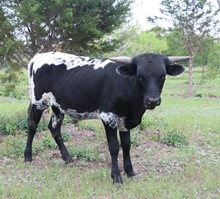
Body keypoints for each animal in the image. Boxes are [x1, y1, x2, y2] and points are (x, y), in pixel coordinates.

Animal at [24, 51, 189, 183]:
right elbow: (114, 147)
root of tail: (39, 56)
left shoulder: (125, 121)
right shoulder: (108, 117)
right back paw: (27, 157)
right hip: (38, 102)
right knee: (32, 126)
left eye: (162, 76)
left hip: (58, 106)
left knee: (54, 128)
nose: (152, 100)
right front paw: (116, 177)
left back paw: (68, 158)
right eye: (140, 77)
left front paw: (130, 172)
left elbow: (127, 145)